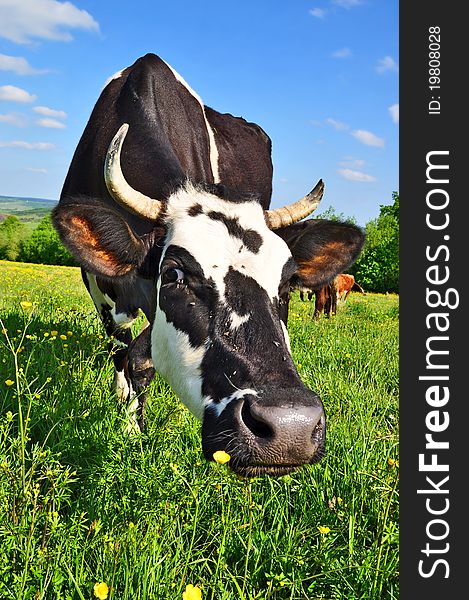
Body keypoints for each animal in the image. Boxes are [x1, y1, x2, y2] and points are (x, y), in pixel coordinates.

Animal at [52, 56, 366, 478]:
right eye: (173, 274)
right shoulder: (98, 284)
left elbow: (141, 359)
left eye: (286, 283)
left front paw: (133, 428)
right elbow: (122, 353)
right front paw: (128, 424)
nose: (291, 428)